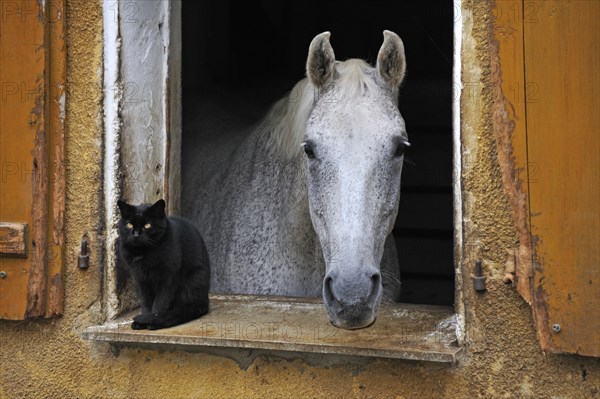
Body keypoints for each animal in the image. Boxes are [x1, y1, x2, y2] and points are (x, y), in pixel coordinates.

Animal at [118, 198, 211, 330]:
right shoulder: (140, 278)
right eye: (129, 224)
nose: (136, 234)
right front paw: (143, 321)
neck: (144, 253)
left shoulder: (168, 277)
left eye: (147, 225)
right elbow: (146, 301)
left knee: (193, 307)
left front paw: (152, 321)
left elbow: (160, 302)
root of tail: (205, 300)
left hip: (194, 278)